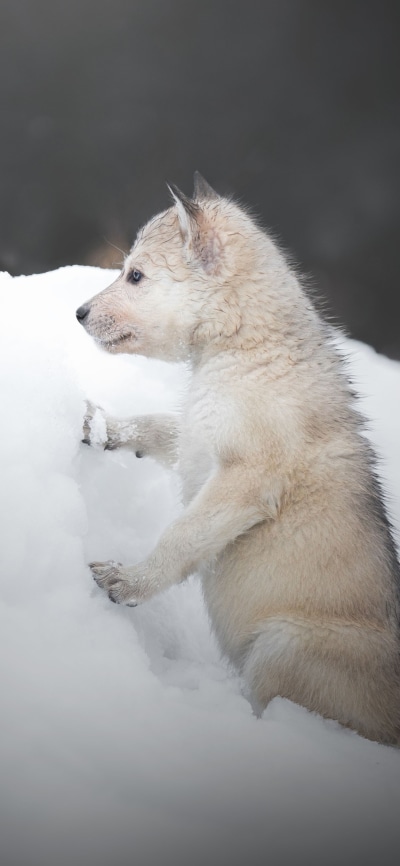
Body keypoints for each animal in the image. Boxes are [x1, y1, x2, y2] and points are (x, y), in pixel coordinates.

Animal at [76, 172, 400, 743]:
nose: (79, 314)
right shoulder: (197, 437)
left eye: (135, 274)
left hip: (280, 646)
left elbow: (181, 537)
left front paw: (127, 582)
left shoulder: (245, 481)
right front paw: (102, 427)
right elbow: (154, 425)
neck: (247, 348)